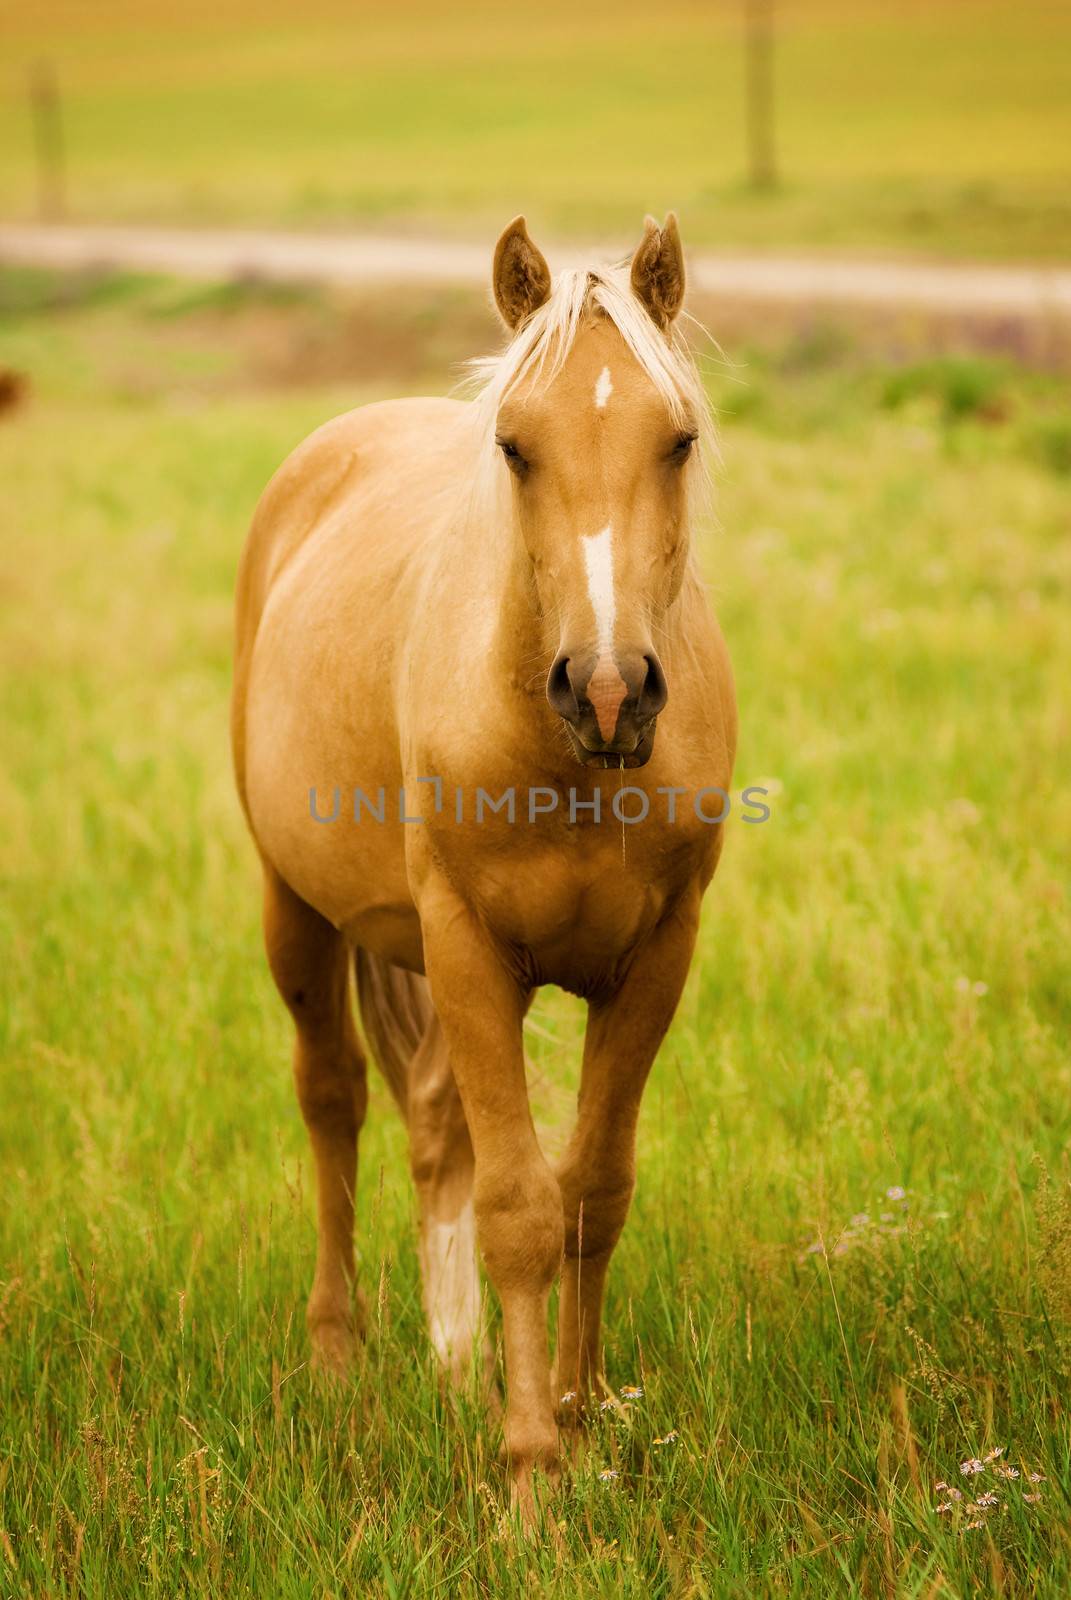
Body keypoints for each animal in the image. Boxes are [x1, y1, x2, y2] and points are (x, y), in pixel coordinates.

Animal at [230, 212, 736, 1510]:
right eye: (514, 445)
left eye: (678, 440)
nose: (608, 689)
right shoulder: (466, 947)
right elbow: (518, 1206)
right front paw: (530, 1477)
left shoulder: (656, 958)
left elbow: (593, 1190)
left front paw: (581, 1409)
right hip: (298, 910)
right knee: (334, 1099)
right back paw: (340, 1358)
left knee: (429, 1123)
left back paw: (455, 1362)